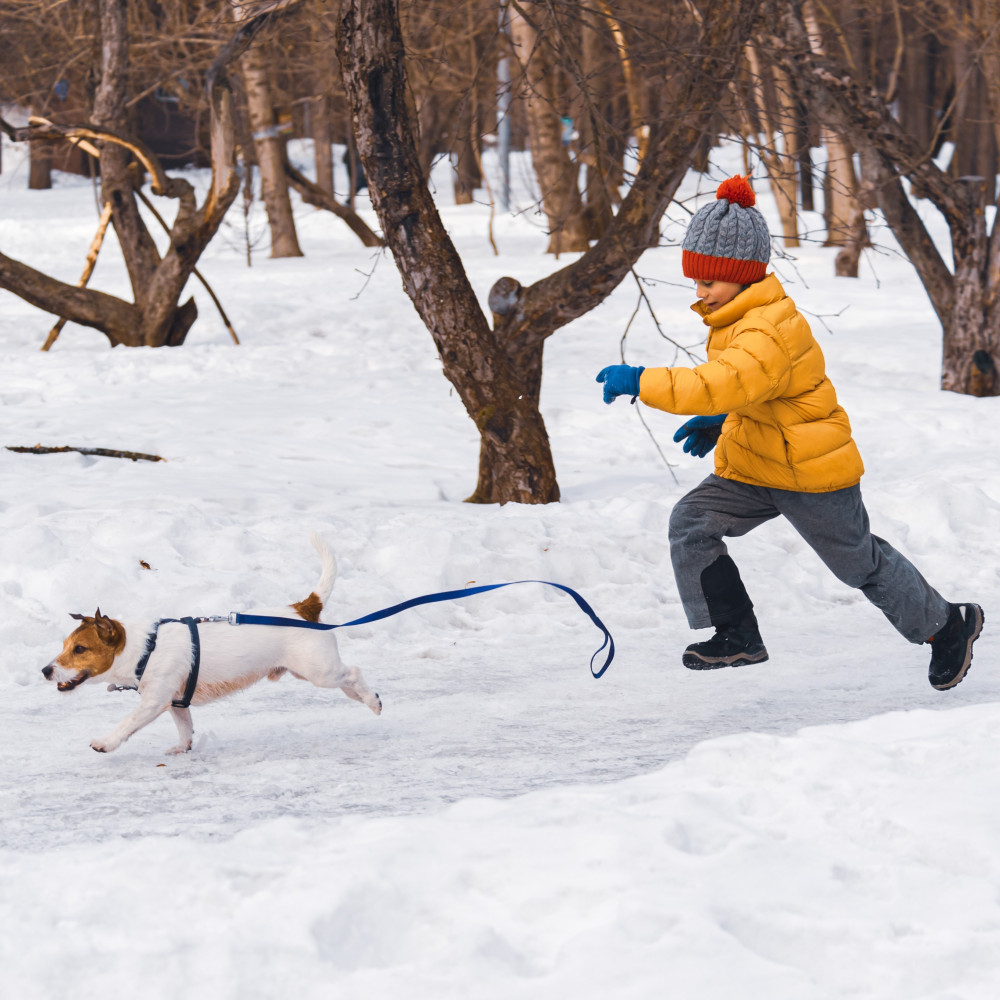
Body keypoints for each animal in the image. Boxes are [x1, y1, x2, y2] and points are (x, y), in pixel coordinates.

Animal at [42, 536, 382, 752]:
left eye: (80, 649)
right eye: (65, 645)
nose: (45, 670)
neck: (145, 650)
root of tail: (304, 609)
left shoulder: (153, 701)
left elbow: (127, 723)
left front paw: (105, 742)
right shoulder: (175, 702)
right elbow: (185, 727)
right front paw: (182, 748)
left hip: (319, 671)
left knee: (354, 671)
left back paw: (371, 699)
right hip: (311, 671)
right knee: (348, 680)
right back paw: (362, 698)